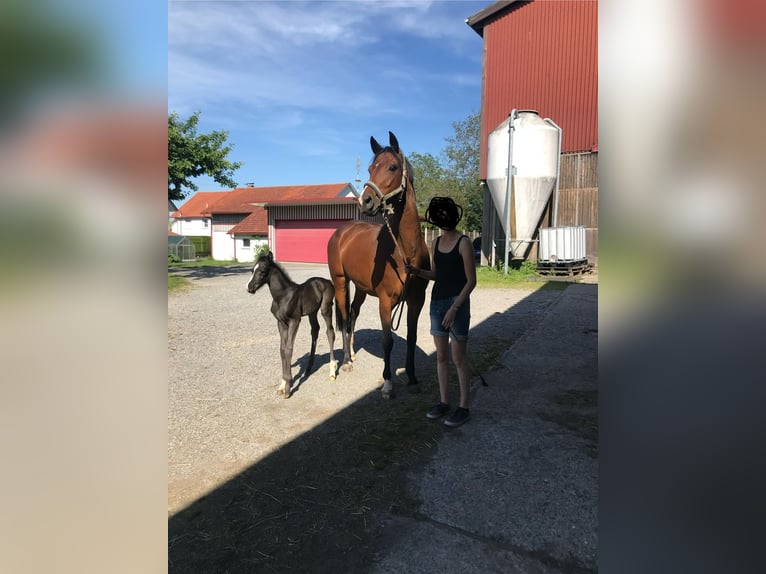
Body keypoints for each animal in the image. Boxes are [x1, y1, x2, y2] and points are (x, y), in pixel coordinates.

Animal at [246, 251, 337, 398]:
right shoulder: (281, 323)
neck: (282, 297)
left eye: (263, 271)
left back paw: (332, 371)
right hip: (312, 312)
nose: (249, 288)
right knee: (315, 331)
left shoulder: (294, 321)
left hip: (326, 308)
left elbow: (289, 349)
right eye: (252, 270)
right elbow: (282, 349)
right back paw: (308, 368)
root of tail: (327, 281)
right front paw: (282, 384)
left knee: (330, 332)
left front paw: (288, 388)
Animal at [327, 131, 431, 398]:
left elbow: (412, 336)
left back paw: (352, 353)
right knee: (344, 317)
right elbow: (387, 341)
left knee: (353, 314)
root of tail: (342, 232)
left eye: (392, 167)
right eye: (371, 169)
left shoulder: (416, 301)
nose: (365, 201)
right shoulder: (385, 302)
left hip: (361, 289)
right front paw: (387, 383)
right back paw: (346, 361)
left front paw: (412, 377)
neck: (405, 253)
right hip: (340, 282)